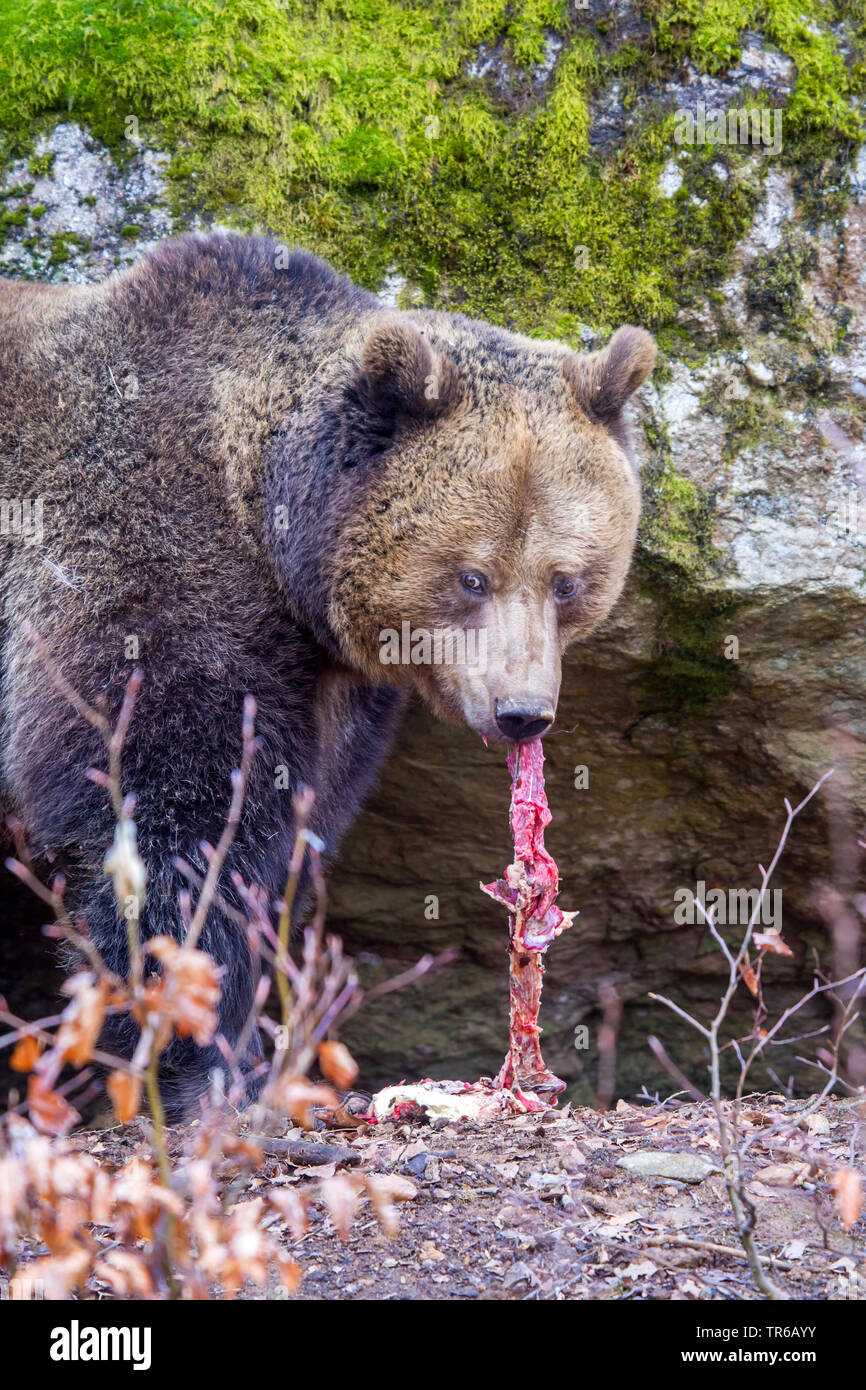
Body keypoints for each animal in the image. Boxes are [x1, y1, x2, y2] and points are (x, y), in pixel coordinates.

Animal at [0, 233, 653, 1112]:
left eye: (568, 580)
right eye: (471, 576)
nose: (522, 712)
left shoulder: (331, 690)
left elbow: (290, 833)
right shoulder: (139, 574)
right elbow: (174, 820)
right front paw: (203, 1056)